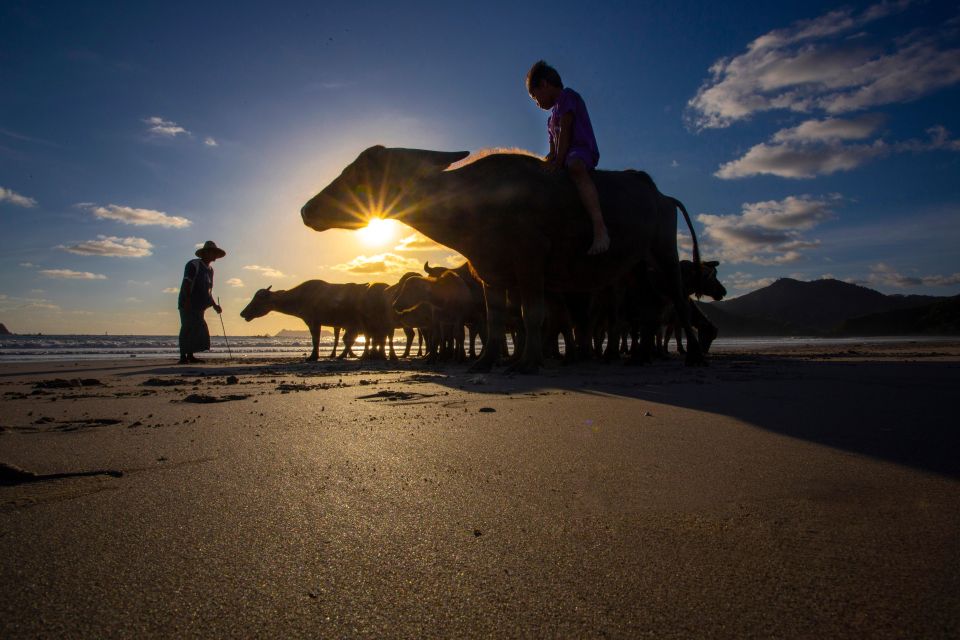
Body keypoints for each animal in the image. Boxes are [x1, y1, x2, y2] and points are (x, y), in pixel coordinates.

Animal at [302, 147, 704, 372]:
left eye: (357, 172)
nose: (306, 209)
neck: (477, 204)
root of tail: (663, 197)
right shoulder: (490, 273)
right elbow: (496, 320)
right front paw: (488, 361)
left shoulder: (530, 263)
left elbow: (531, 315)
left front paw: (527, 364)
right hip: (636, 270)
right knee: (646, 312)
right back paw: (639, 356)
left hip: (665, 256)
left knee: (678, 301)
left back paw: (693, 356)